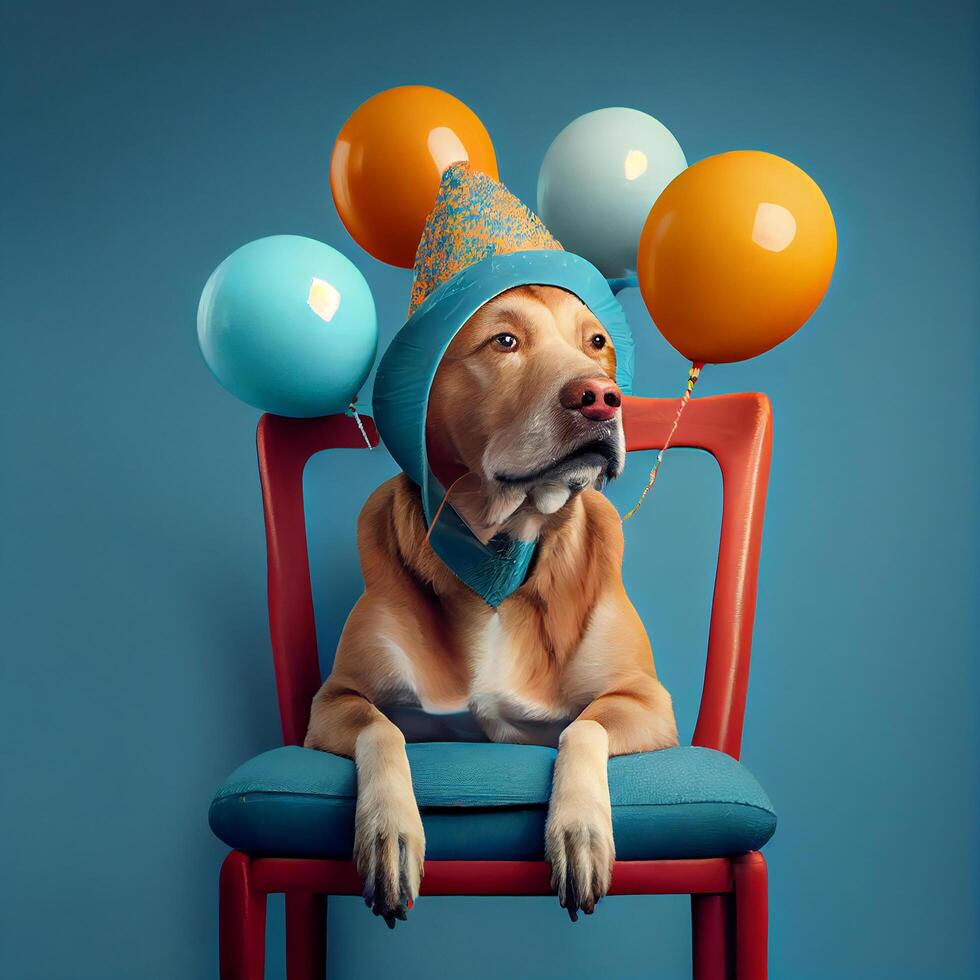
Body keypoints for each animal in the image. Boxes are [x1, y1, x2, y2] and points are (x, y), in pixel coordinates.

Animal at [306, 284, 680, 928]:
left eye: (596, 341)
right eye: (504, 341)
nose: (601, 399)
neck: (502, 554)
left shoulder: (648, 702)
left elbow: (582, 729)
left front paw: (578, 831)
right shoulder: (332, 701)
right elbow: (382, 730)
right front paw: (388, 834)